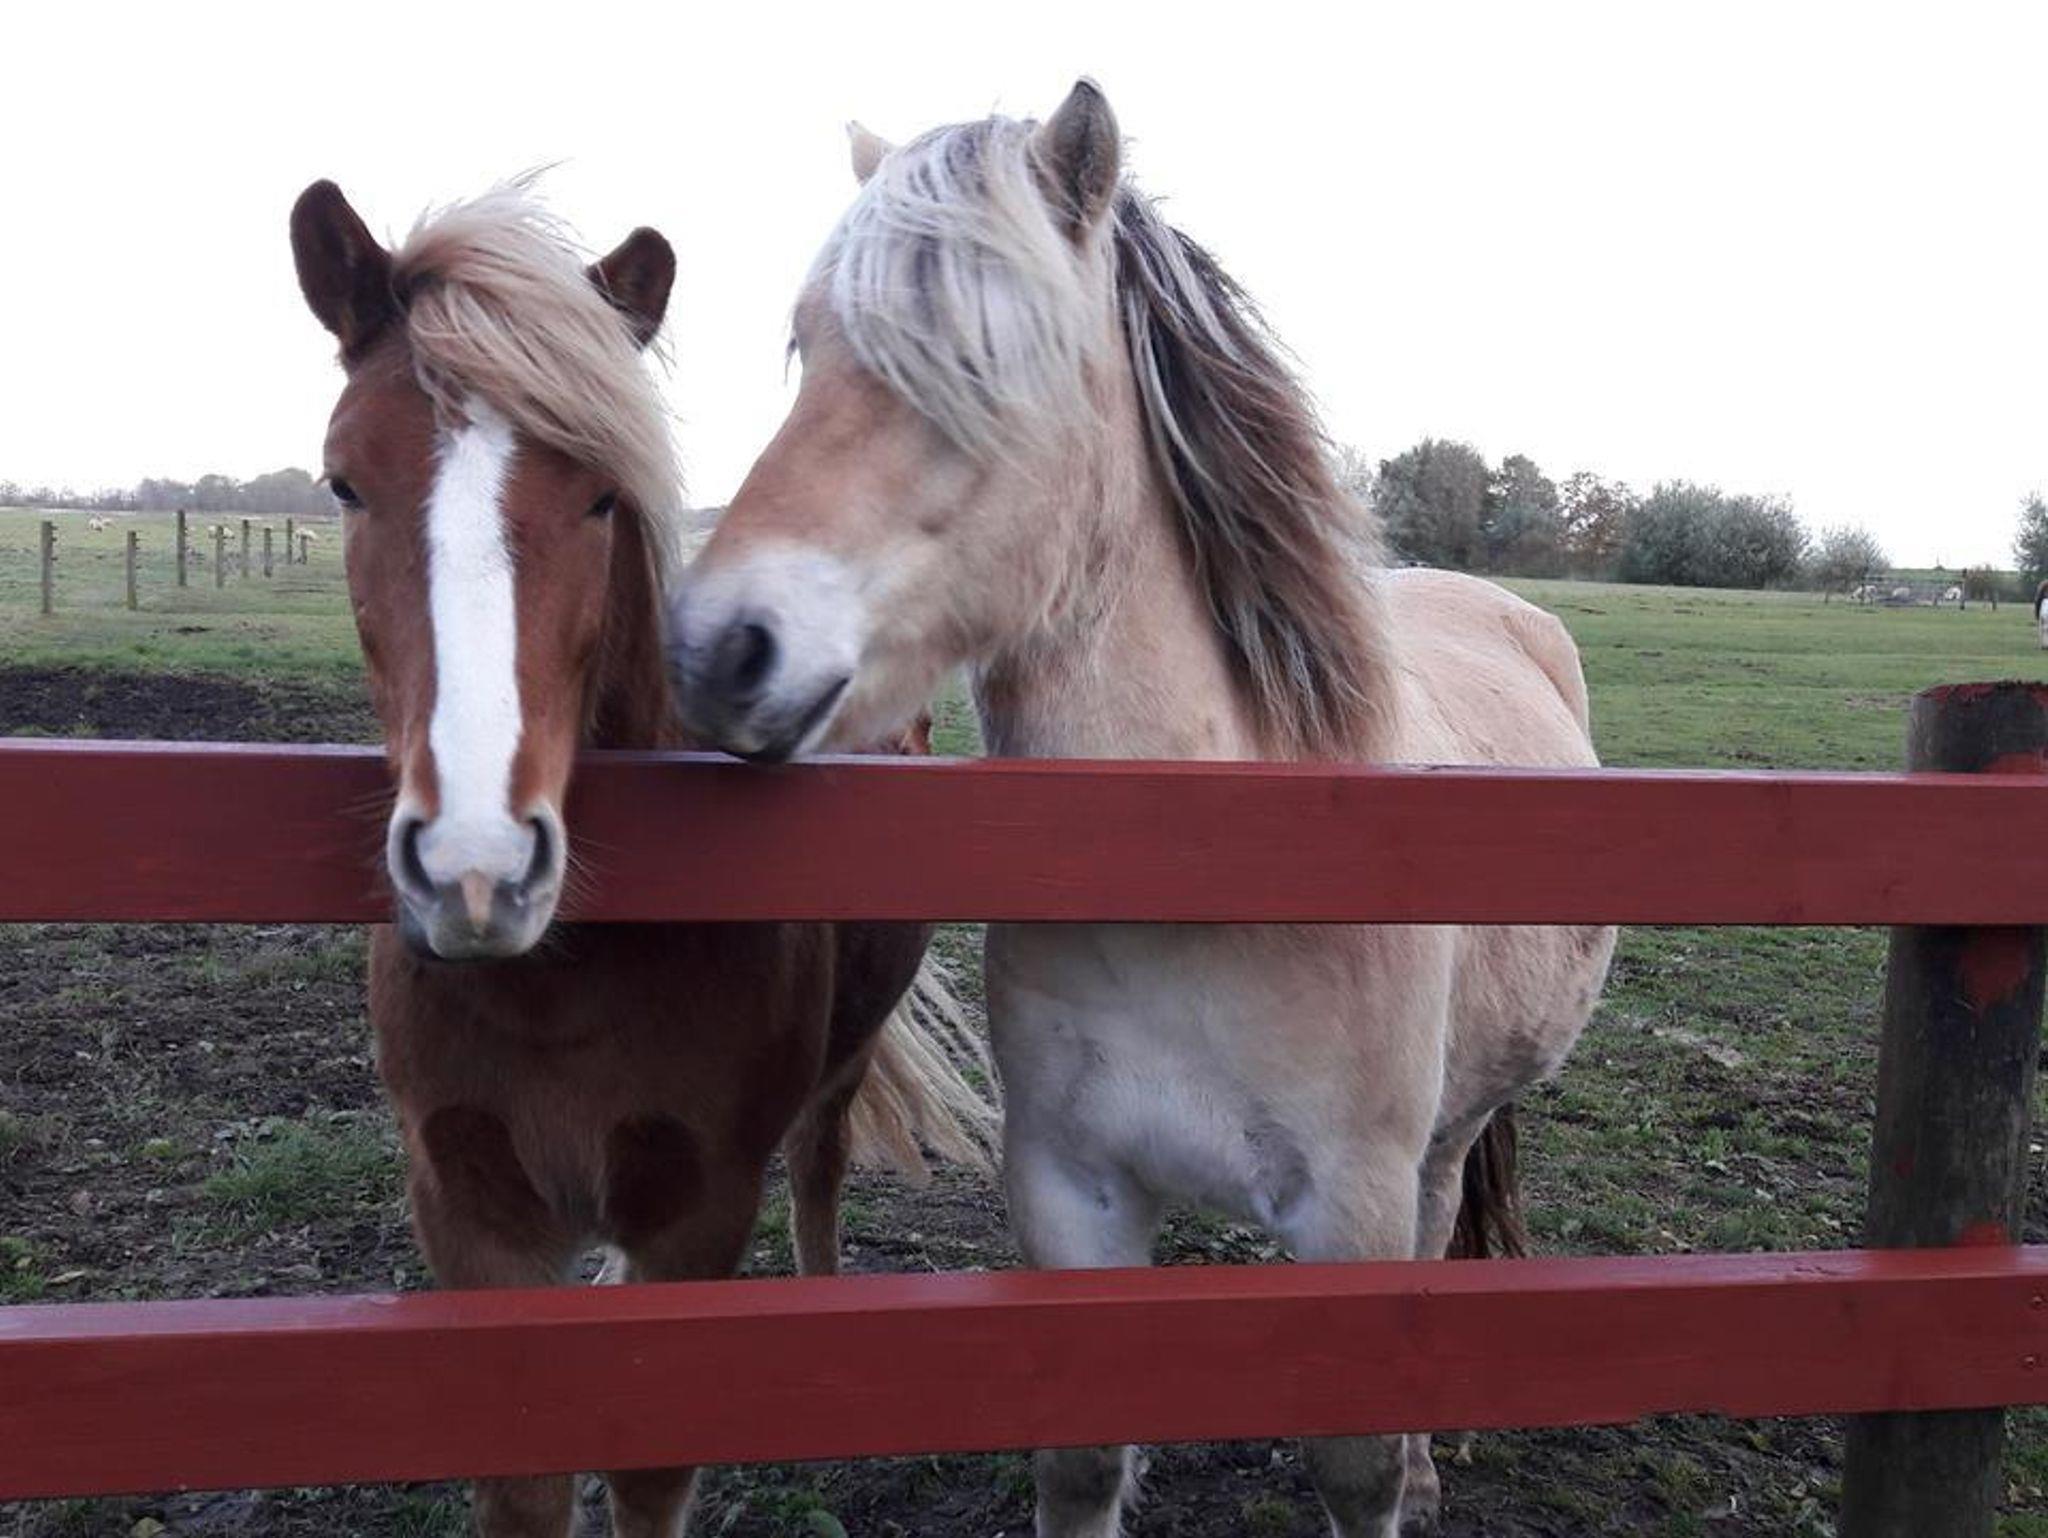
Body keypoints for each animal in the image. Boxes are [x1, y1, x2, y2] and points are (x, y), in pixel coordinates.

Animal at [289, 179, 993, 1538]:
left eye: (602, 494)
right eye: (343, 481)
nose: (477, 868)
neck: (559, 989)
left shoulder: (693, 1209)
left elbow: (648, 1470)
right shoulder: (472, 1214)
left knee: (820, 1167)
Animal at [668, 83, 1615, 1538]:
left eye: (989, 353)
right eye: (804, 342)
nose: (722, 649)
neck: (1198, 877)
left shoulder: (1346, 1213)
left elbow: (1350, 1465)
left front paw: (1389, 1471)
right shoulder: (1072, 1194)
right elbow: (1080, 1459)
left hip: (1438, 1141)